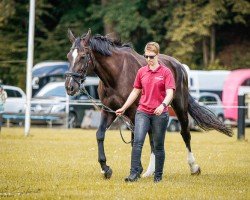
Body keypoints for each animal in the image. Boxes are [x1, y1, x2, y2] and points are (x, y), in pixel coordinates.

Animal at [64, 28, 232, 179]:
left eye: (83, 56)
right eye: (68, 56)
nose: (69, 86)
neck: (116, 75)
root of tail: (178, 65)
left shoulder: (133, 113)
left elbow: (135, 139)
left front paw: (136, 170)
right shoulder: (109, 111)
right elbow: (100, 134)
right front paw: (106, 168)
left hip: (180, 107)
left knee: (185, 133)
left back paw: (193, 167)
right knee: (153, 138)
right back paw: (150, 171)